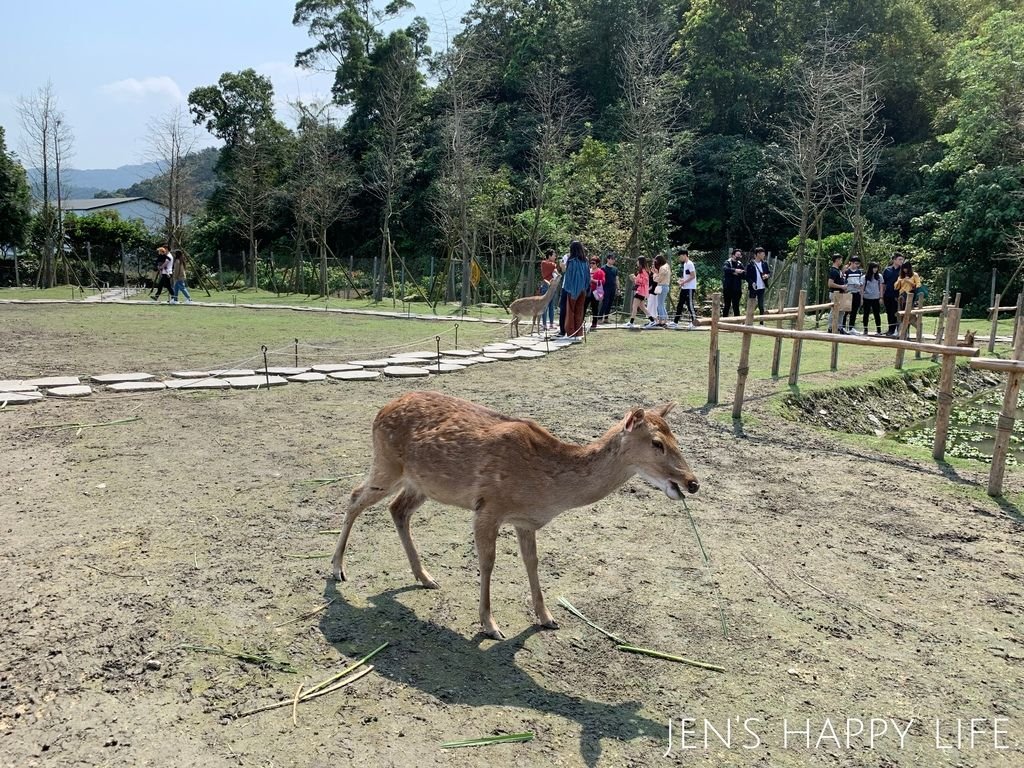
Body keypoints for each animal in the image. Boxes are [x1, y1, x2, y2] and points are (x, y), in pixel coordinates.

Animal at [331, 391, 700, 643]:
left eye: (676, 437)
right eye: (656, 443)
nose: (692, 482)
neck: (546, 493)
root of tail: (382, 409)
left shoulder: (525, 521)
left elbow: (532, 562)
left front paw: (547, 617)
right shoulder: (488, 507)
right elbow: (488, 562)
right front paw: (490, 625)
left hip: (421, 483)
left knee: (397, 510)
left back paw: (425, 576)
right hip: (386, 463)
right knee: (353, 497)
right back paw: (337, 569)